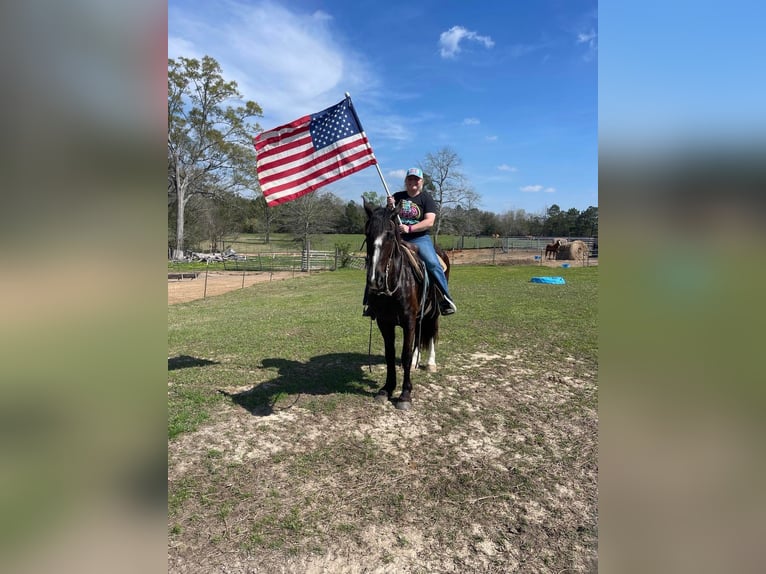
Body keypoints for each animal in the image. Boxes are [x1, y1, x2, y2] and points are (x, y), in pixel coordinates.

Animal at [364, 200, 450, 412]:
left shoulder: (408, 320)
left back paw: (430, 363)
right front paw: (387, 389)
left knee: (432, 333)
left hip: (433, 313)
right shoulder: (385, 322)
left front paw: (405, 394)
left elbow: (404, 354)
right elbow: (390, 354)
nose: (375, 280)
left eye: (389, 234)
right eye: (367, 234)